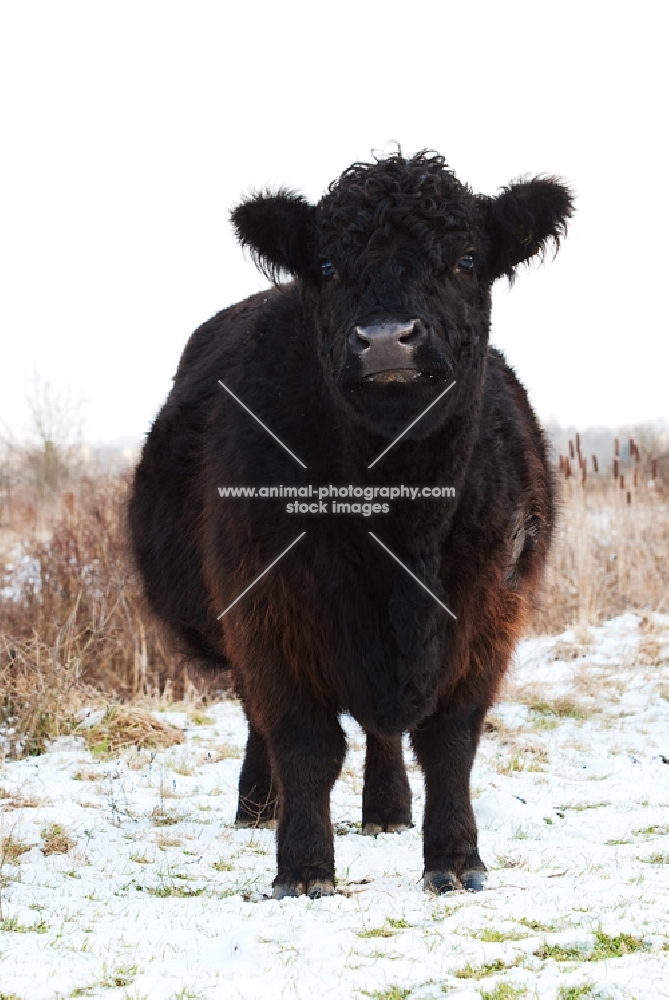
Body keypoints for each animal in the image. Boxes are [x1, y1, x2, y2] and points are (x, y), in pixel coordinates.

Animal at [128, 148, 572, 900]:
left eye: (465, 259)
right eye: (330, 267)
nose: (387, 339)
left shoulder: (489, 611)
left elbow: (451, 740)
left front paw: (455, 858)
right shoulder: (269, 609)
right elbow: (303, 740)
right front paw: (304, 868)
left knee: (382, 730)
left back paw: (388, 809)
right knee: (260, 718)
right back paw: (258, 805)